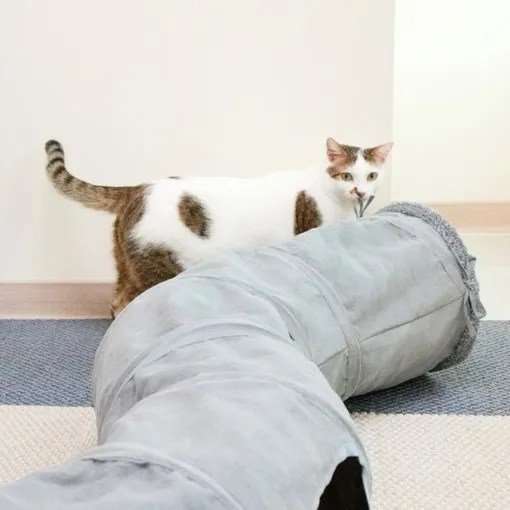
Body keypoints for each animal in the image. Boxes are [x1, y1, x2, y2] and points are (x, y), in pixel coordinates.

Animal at [45, 138, 392, 316]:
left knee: (117, 300)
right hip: (157, 265)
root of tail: (138, 188)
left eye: (371, 175)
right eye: (347, 175)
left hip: (127, 264)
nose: (360, 191)